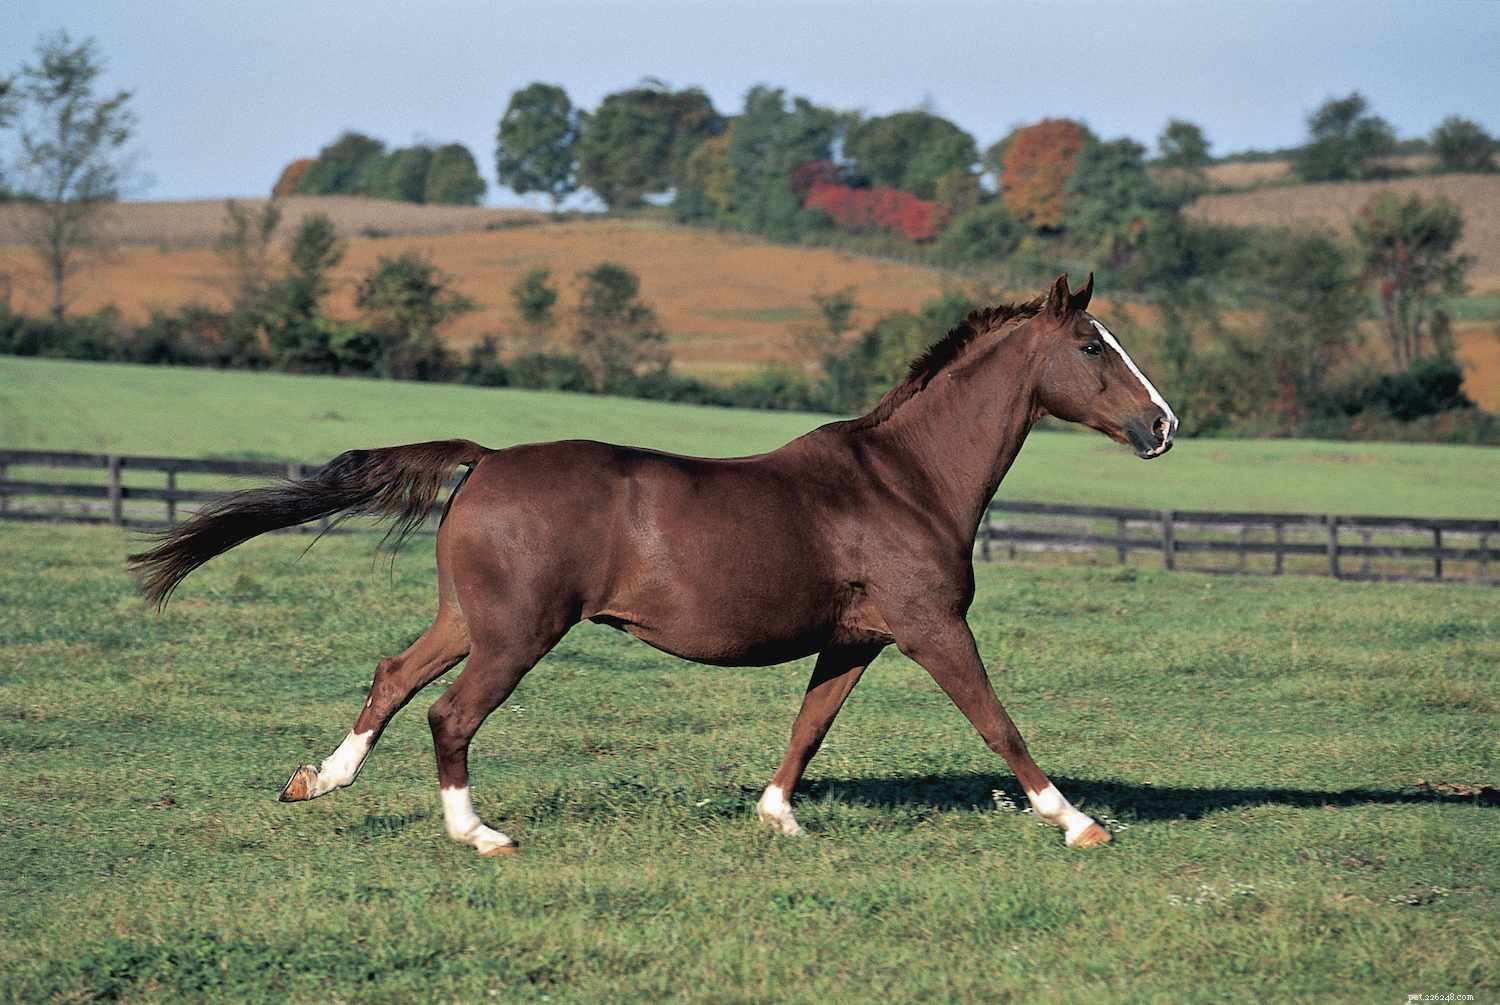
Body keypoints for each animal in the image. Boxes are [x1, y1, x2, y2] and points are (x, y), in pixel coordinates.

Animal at [130, 273, 1177, 856]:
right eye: (1093, 345)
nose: (1163, 425)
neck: (906, 478)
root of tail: (486, 459)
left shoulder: (857, 640)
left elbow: (808, 729)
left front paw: (777, 819)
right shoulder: (931, 628)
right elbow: (999, 724)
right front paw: (1079, 822)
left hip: (469, 619)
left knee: (393, 679)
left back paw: (319, 781)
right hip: (518, 634)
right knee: (448, 714)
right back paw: (481, 834)